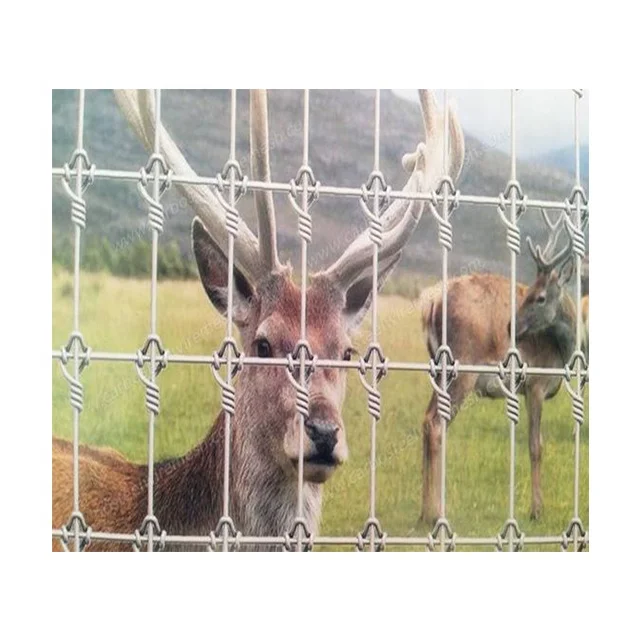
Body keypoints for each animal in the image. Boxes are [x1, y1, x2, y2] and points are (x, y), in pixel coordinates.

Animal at [419, 209, 576, 524]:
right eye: (528, 293)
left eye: (540, 297)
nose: (511, 327)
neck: (560, 351)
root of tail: (431, 305)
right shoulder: (535, 385)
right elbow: (536, 446)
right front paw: (537, 510)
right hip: (462, 369)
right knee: (436, 425)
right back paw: (436, 512)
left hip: (439, 371)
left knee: (427, 421)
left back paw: (423, 512)